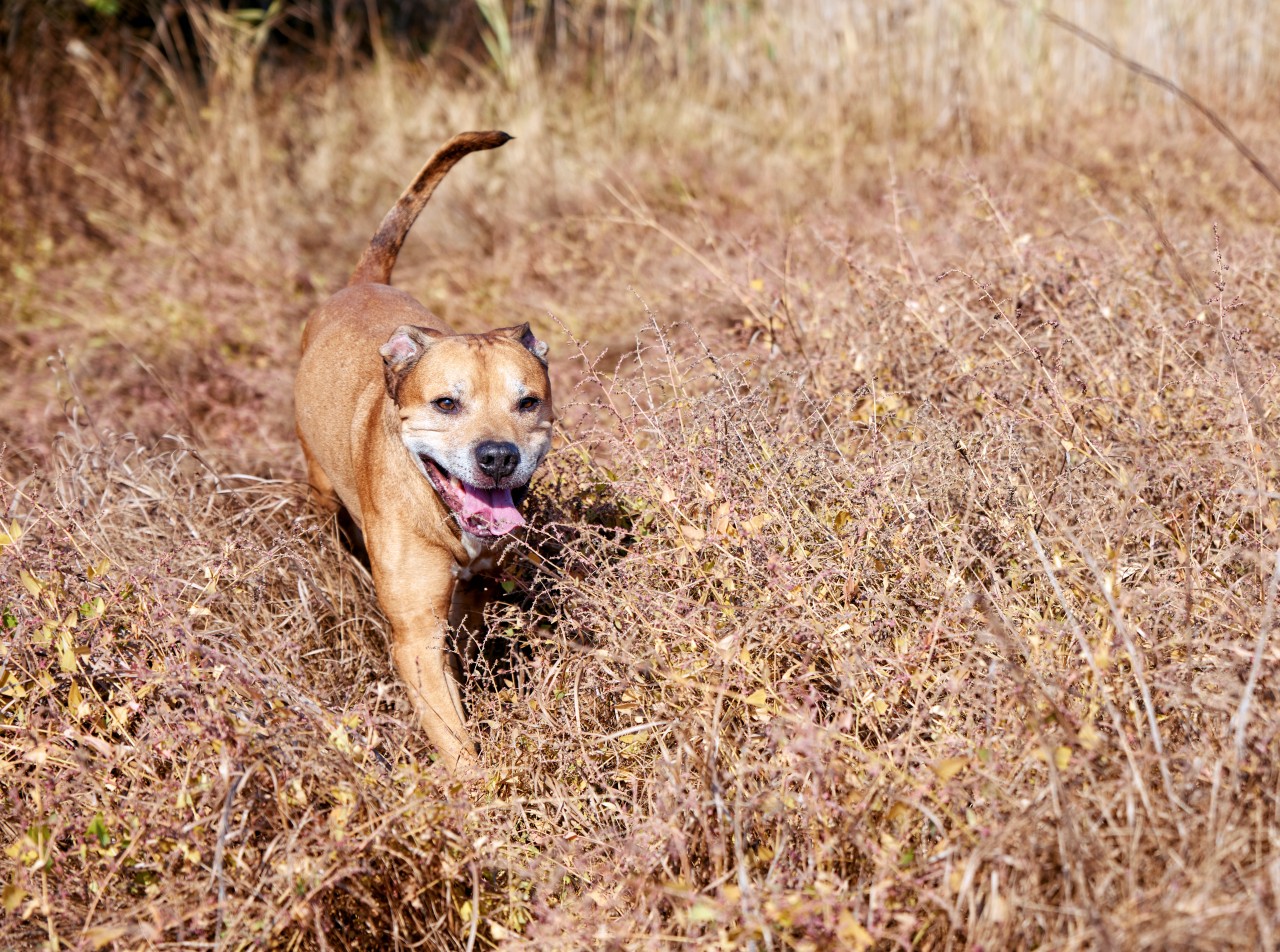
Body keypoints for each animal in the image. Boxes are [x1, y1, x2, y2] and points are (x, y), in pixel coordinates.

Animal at [296, 129, 552, 767]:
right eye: (446, 404)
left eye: (527, 402)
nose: (498, 457)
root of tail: (361, 282)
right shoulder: (416, 637)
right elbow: (456, 743)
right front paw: (481, 787)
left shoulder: (476, 594)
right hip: (320, 490)